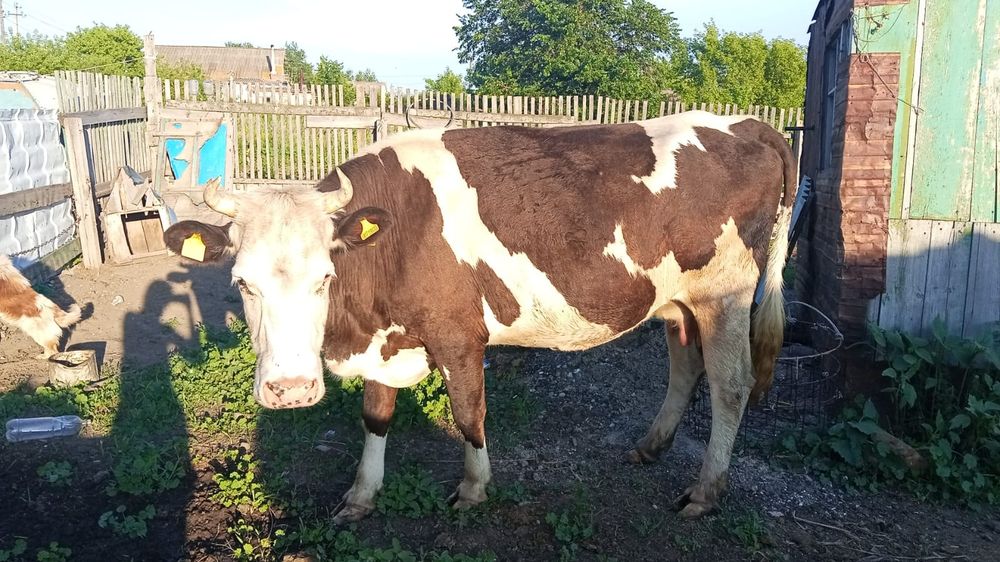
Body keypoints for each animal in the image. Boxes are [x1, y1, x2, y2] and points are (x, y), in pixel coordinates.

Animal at [163, 110, 795, 523]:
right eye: (242, 282)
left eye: (325, 276)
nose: (290, 389)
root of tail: (749, 125)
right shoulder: (384, 340)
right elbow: (375, 416)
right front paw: (361, 496)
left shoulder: (458, 335)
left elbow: (469, 413)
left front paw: (473, 489)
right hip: (676, 302)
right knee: (685, 368)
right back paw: (651, 445)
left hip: (726, 295)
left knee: (731, 386)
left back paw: (705, 490)